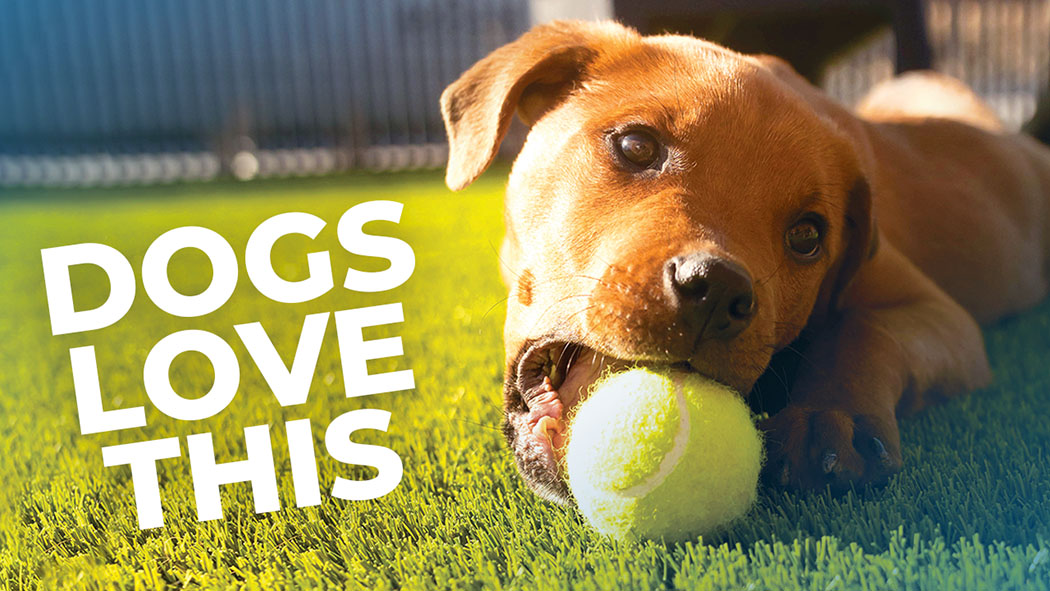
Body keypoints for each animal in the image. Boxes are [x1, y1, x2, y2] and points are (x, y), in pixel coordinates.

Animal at [438, 21, 1050, 503]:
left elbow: (867, 329)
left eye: (807, 235)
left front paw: (833, 414)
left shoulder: (942, 315)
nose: (715, 290)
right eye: (636, 146)